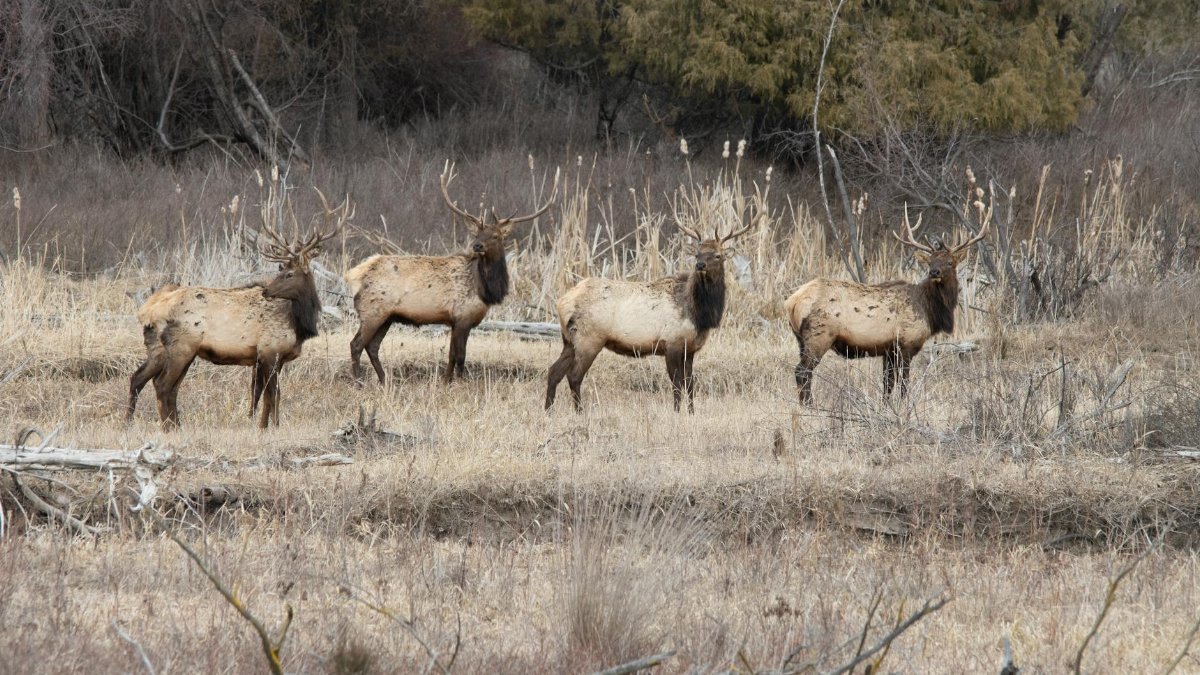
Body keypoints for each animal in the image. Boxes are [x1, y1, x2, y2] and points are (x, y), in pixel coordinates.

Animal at [127, 192, 350, 429]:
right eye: (283, 271)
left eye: (289, 273)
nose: (267, 291)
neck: (298, 324)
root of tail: (147, 310)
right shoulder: (270, 351)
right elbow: (273, 394)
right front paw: (272, 426)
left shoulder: (268, 359)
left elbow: (264, 395)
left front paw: (263, 426)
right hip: (182, 345)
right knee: (162, 384)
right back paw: (169, 428)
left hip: (160, 349)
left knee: (141, 379)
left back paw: (140, 423)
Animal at [344, 162, 558, 383]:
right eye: (477, 233)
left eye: (496, 235)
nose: (477, 245)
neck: (484, 289)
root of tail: (354, 274)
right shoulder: (463, 317)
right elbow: (461, 356)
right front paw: (461, 383)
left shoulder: (455, 321)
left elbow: (451, 355)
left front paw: (446, 381)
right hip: (372, 311)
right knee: (356, 344)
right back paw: (359, 382)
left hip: (387, 316)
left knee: (372, 346)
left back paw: (384, 380)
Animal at [545, 189, 764, 413]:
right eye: (697, 254)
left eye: (718, 255)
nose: (700, 265)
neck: (699, 314)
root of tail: (562, 303)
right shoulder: (671, 343)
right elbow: (677, 383)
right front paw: (676, 411)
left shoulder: (690, 348)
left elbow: (690, 383)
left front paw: (691, 412)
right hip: (589, 338)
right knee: (574, 376)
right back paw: (580, 412)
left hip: (569, 340)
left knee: (553, 372)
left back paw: (548, 410)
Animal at [785, 210, 988, 404]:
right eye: (930, 261)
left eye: (950, 262)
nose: (934, 272)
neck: (930, 310)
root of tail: (792, 302)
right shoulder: (906, 343)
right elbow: (904, 382)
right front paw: (904, 405)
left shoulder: (888, 350)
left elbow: (888, 383)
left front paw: (886, 406)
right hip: (819, 336)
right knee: (802, 371)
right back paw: (810, 406)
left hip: (800, 339)